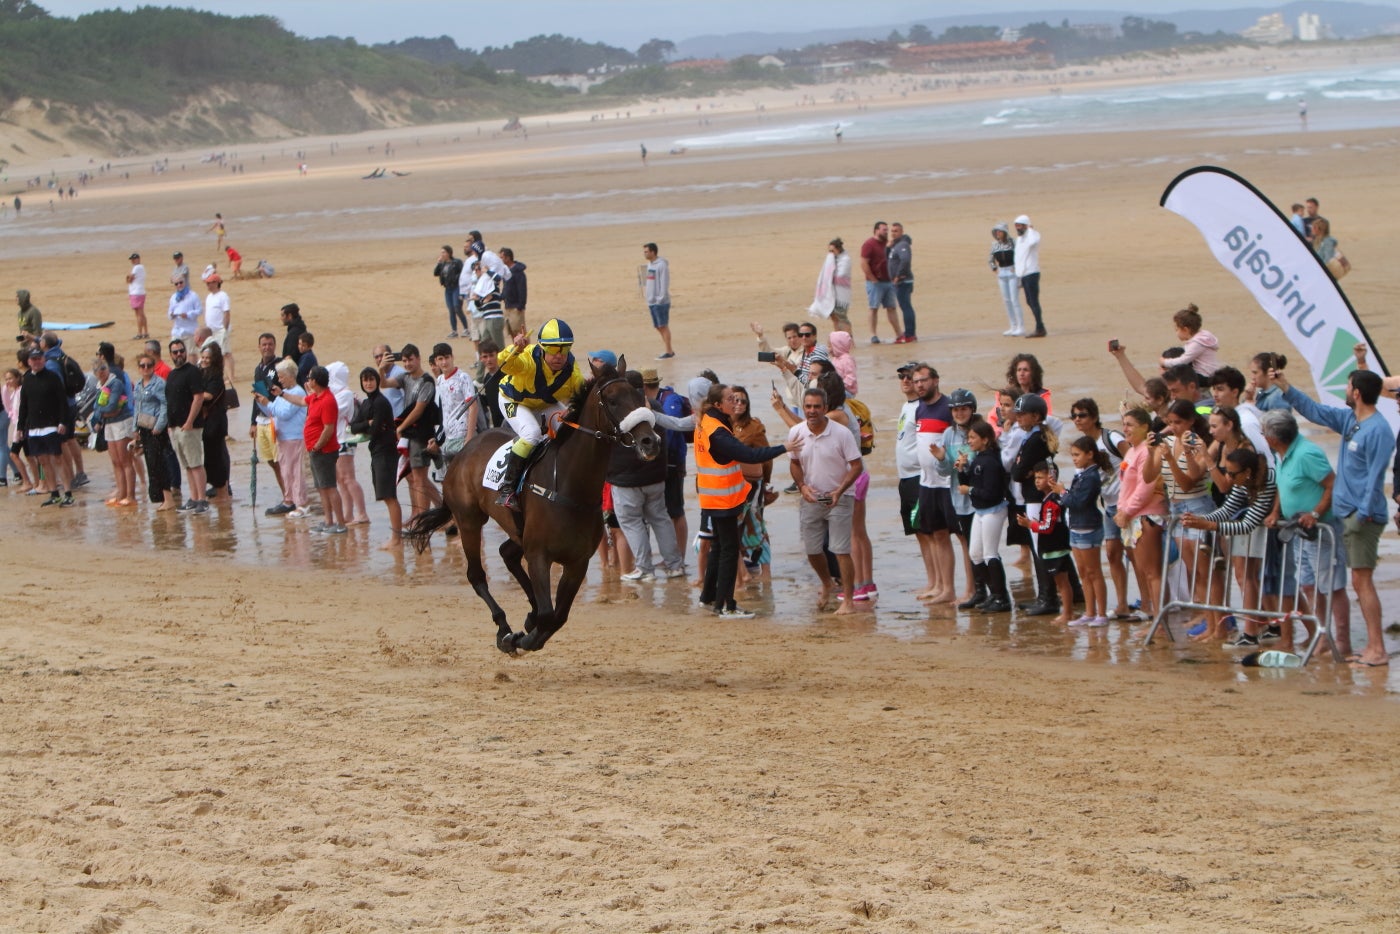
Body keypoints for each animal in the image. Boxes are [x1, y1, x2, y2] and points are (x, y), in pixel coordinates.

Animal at [406, 358, 660, 658]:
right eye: (612, 400)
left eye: (639, 396)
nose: (650, 441)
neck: (570, 487)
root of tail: (462, 452)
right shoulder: (539, 554)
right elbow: (549, 615)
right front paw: (519, 639)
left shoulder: (577, 562)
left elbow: (558, 616)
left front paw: (530, 628)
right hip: (469, 520)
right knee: (476, 575)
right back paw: (504, 628)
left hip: (517, 530)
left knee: (507, 554)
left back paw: (526, 615)